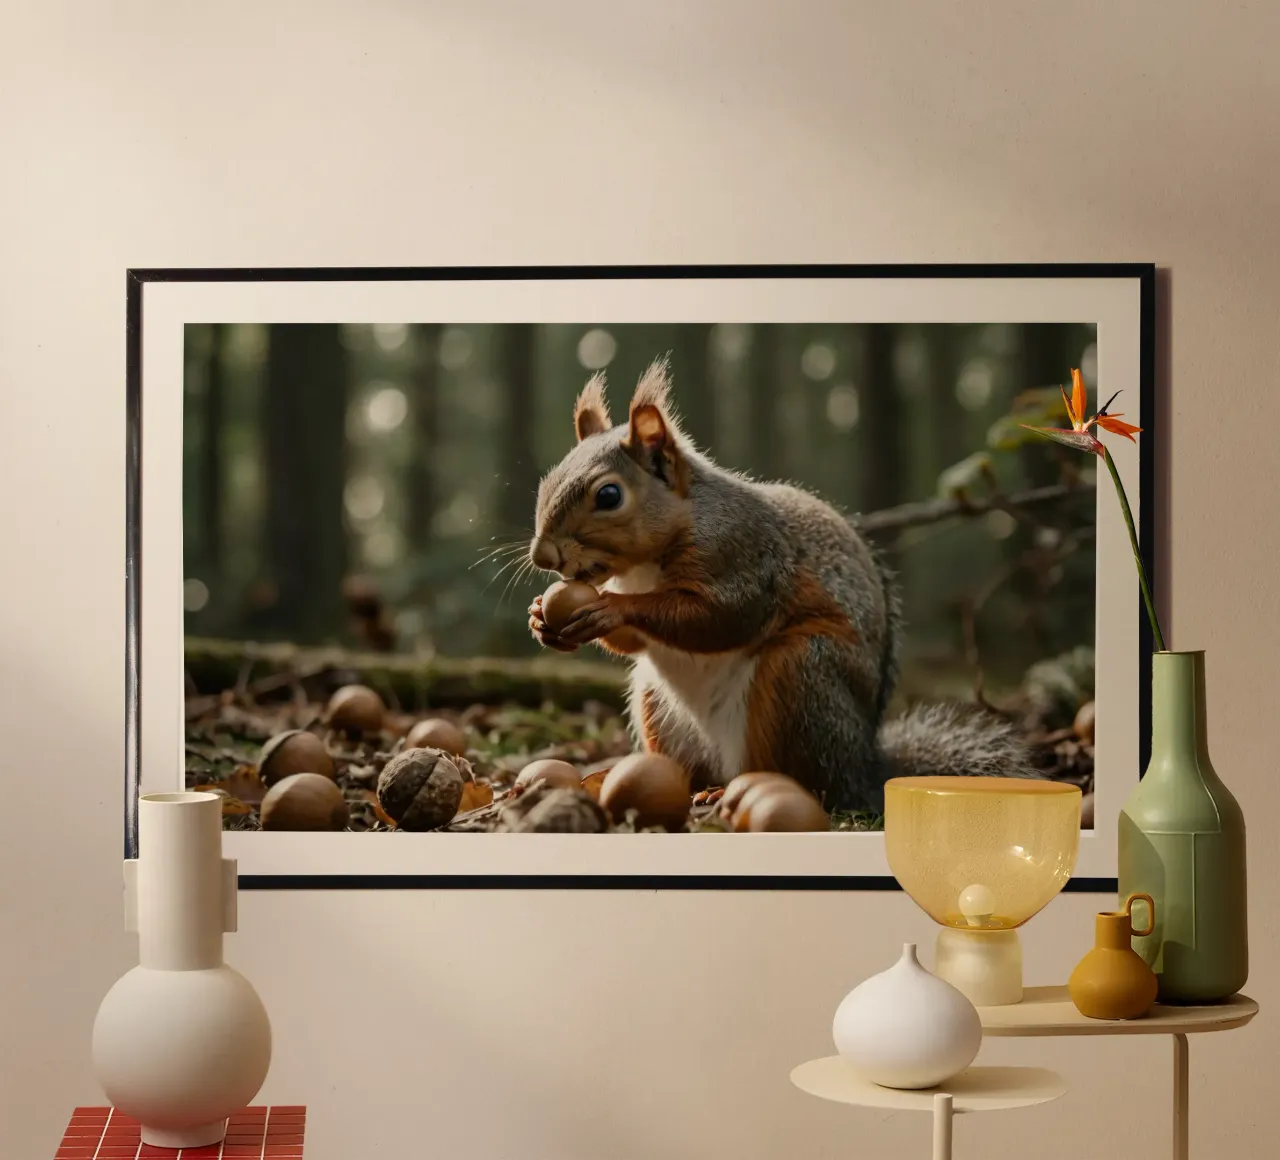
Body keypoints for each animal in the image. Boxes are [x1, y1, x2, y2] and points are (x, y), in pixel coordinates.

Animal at [526, 357, 1038, 815]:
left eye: (609, 495)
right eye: (547, 480)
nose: (543, 557)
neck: (644, 566)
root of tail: (864, 770)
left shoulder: (746, 557)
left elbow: (718, 618)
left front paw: (612, 607)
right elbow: (635, 644)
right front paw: (541, 619)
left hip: (800, 678)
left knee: (810, 781)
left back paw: (738, 792)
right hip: (659, 705)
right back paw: (679, 788)